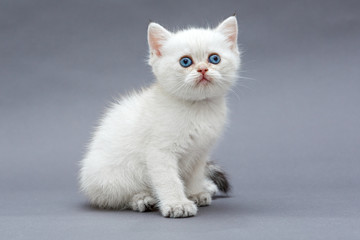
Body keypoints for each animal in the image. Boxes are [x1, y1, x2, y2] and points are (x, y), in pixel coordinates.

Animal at [80, 15, 240, 218]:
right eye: (185, 62)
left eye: (214, 58)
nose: (203, 69)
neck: (198, 108)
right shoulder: (160, 152)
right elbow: (169, 180)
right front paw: (177, 204)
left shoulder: (200, 152)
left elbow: (194, 175)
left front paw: (195, 192)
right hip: (112, 177)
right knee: (115, 197)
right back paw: (142, 199)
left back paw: (206, 187)